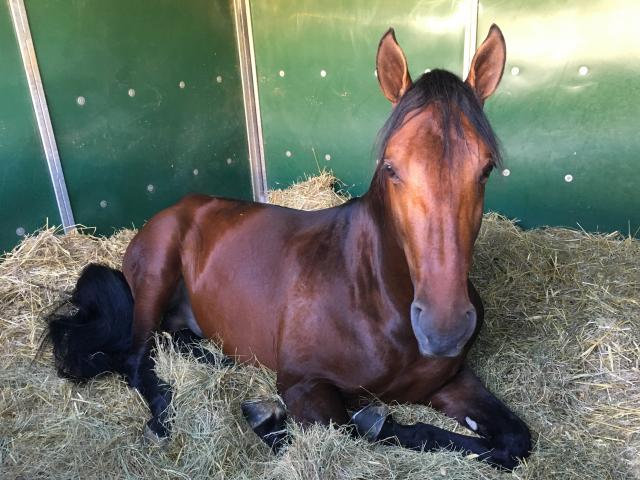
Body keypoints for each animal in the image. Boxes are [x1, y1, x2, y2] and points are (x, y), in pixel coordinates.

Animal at [45, 24, 531, 470]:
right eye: (391, 167)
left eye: (486, 168)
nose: (443, 330)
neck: (373, 298)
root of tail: (175, 208)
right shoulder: (303, 386)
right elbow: (365, 428)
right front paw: (268, 418)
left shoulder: (453, 381)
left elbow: (514, 440)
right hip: (155, 279)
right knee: (135, 359)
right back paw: (164, 415)